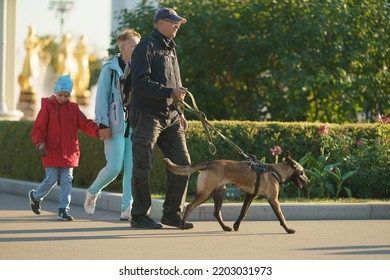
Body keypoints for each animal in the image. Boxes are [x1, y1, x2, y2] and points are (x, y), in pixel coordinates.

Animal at [163, 152, 310, 233]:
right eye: (302, 172)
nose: (308, 180)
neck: (275, 171)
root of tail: (210, 163)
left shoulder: (250, 196)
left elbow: (243, 212)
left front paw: (236, 225)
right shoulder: (273, 200)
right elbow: (281, 217)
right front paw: (288, 229)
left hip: (219, 193)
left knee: (216, 212)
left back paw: (225, 228)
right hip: (206, 193)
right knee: (190, 206)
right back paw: (183, 224)